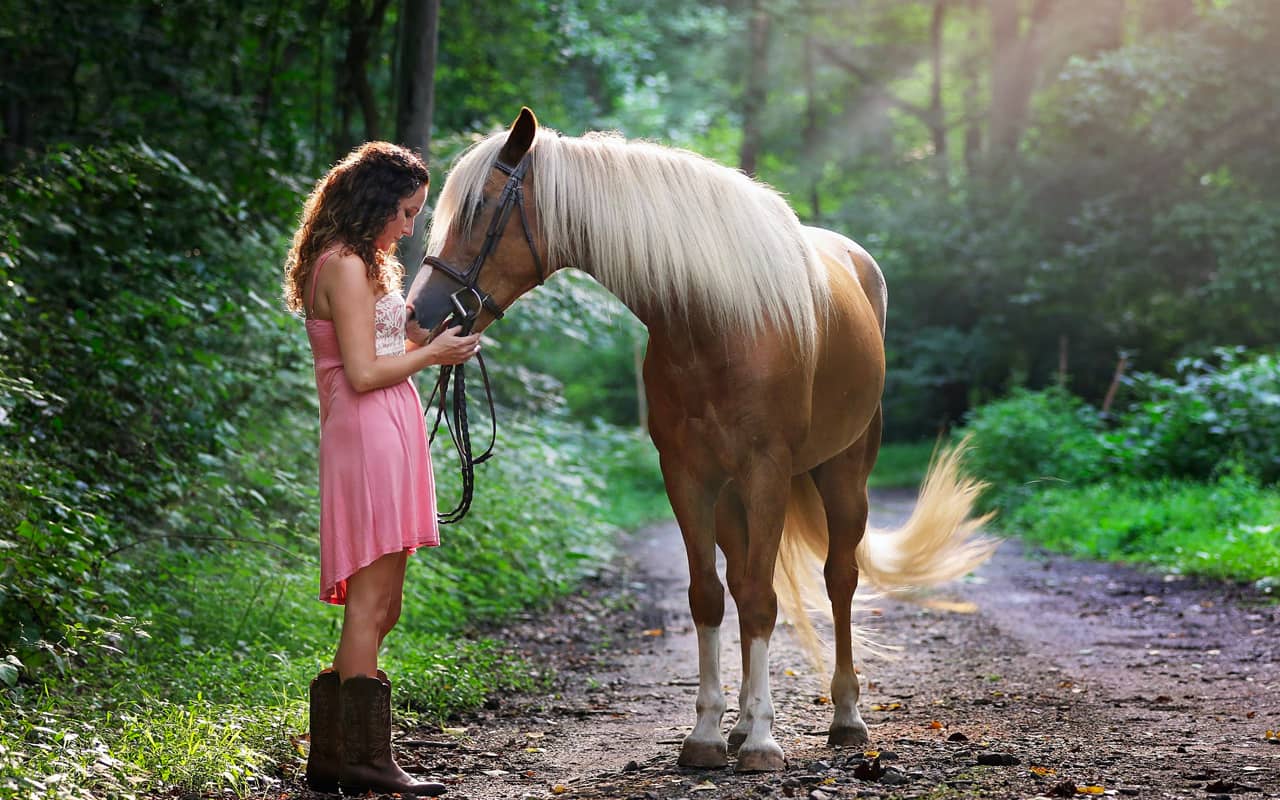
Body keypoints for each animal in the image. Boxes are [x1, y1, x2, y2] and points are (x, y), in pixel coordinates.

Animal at [405, 108, 997, 772]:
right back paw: (740, 724)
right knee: (741, 582)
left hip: (844, 475)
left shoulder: (767, 471)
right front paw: (711, 734)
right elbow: (710, 597)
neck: (714, 321)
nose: (418, 315)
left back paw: (845, 717)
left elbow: (764, 600)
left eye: (480, 207)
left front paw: (764, 742)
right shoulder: (687, 476)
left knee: (838, 579)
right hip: (734, 496)